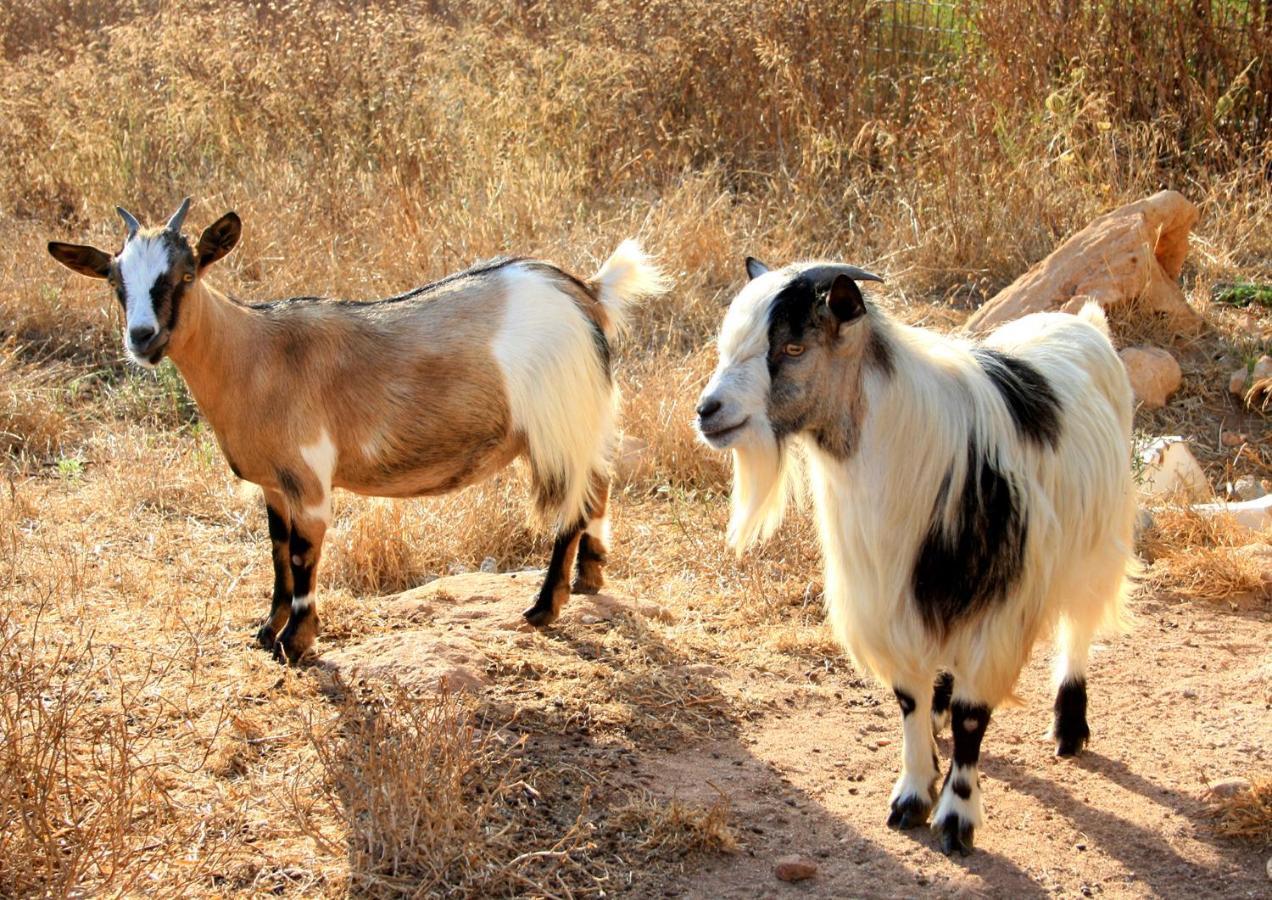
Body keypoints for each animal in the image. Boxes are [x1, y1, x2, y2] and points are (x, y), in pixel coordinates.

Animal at [49, 198, 666, 661]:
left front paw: (295, 643)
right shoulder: (274, 484)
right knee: (599, 484)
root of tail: (586, 292)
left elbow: (304, 556)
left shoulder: (308, 478)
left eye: (185, 274)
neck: (253, 353)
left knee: (570, 507)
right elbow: (277, 553)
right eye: (115, 282)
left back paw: (544, 607)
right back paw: (590, 578)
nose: (142, 338)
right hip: (585, 419)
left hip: (558, 422)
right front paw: (265, 631)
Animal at [702, 256, 1139, 854]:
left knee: (1079, 626)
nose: (708, 410)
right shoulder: (889, 594)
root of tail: (1085, 323)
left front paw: (956, 818)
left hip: (1096, 540)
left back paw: (1069, 728)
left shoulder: (996, 608)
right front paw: (912, 794)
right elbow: (908, 699)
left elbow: (973, 717)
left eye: (793, 348)